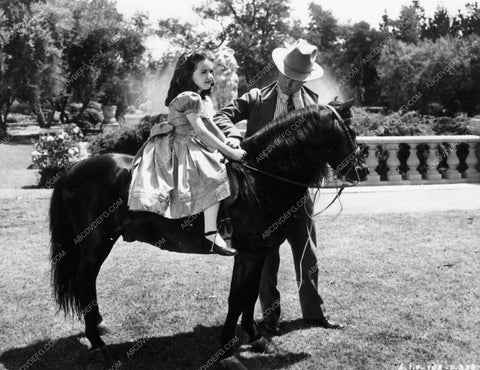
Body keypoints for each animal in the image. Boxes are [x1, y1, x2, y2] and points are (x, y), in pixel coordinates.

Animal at [49, 102, 368, 368]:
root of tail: (74, 168)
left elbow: (249, 295)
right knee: (84, 282)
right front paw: (227, 350)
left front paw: (255, 337)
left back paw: (98, 327)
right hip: (94, 243)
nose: (362, 170)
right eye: (350, 131)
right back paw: (98, 342)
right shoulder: (250, 253)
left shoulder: (256, 253)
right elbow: (237, 298)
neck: (261, 175)